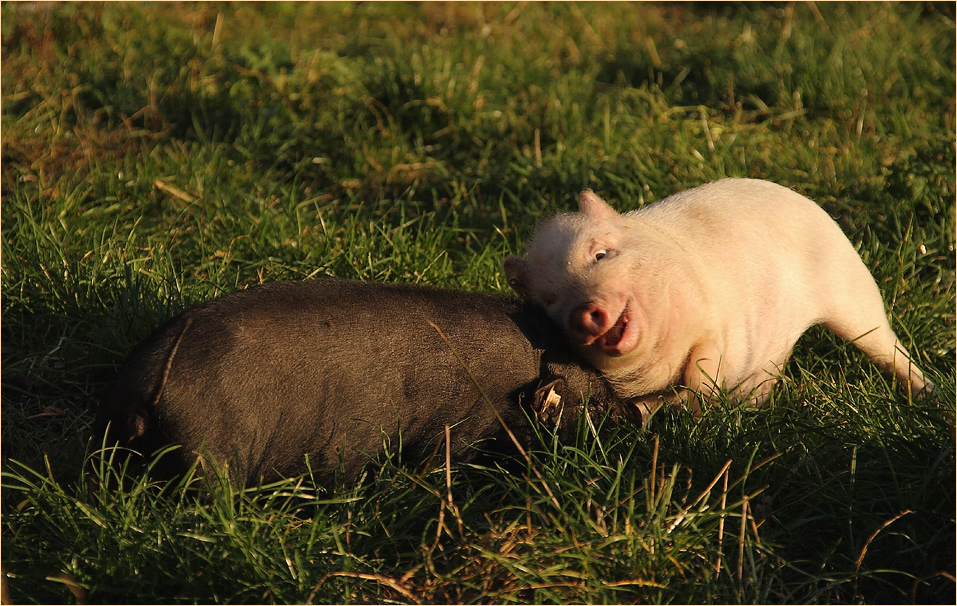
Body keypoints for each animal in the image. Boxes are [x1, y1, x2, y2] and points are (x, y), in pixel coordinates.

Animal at [93, 282, 624, 490]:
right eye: (595, 404)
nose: (630, 413)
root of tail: (146, 385)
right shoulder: (463, 424)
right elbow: (437, 463)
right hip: (210, 454)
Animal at [504, 178, 936, 420]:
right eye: (549, 301)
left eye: (600, 254)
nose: (582, 312)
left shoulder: (713, 321)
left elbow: (703, 364)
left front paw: (697, 407)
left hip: (852, 290)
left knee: (887, 345)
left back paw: (929, 394)